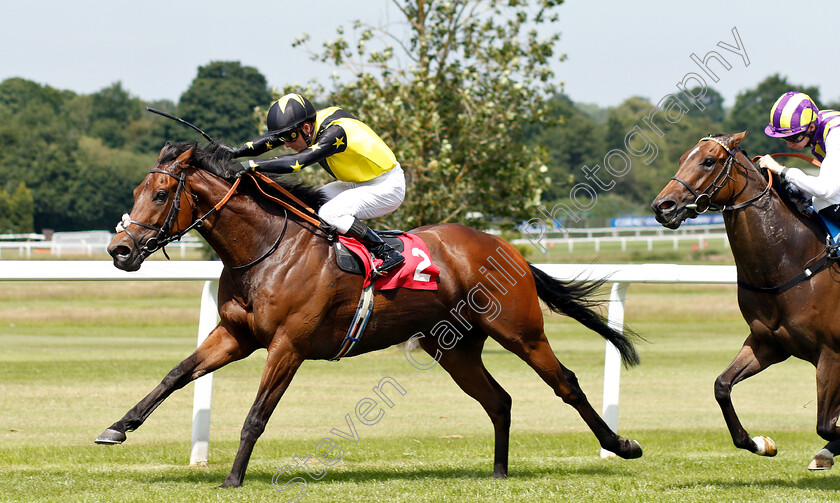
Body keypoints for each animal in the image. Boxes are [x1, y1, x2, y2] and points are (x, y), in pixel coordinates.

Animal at [97, 142, 644, 488]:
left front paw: (233, 478)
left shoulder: (288, 345)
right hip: (454, 349)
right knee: (499, 400)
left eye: (161, 194)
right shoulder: (235, 334)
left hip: (521, 331)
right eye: (135, 193)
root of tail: (505, 247)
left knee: (565, 383)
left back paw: (621, 445)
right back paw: (498, 472)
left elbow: (256, 415)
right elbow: (175, 375)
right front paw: (118, 427)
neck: (267, 249)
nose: (120, 250)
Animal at [652, 132, 840, 470]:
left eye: (708, 160)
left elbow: (826, 425)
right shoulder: (768, 343)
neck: (792, 262)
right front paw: (760, 443)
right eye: (683, 158)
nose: (663, 206)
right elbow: (721, 386)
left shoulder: (831, 353)